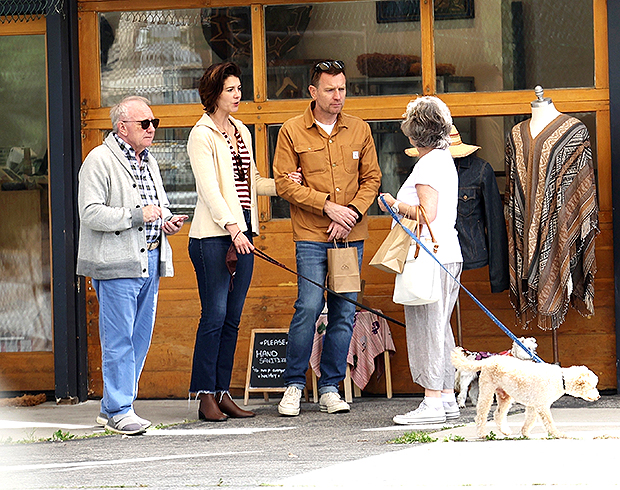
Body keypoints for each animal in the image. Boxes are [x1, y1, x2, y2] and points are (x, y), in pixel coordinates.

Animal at [450, 346, 600, 438]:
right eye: (592, 386)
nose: (598, 396)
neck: (560, 378)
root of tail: (488, 361)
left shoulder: (533, 405)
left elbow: (530, 420)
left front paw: (525, 433)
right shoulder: (542, 406)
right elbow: (549, 422)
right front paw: (557, 434)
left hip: (505, 396)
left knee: (498, 414)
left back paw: (505, 431)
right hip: (487, 393)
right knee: (481, 416)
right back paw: (481, 434)